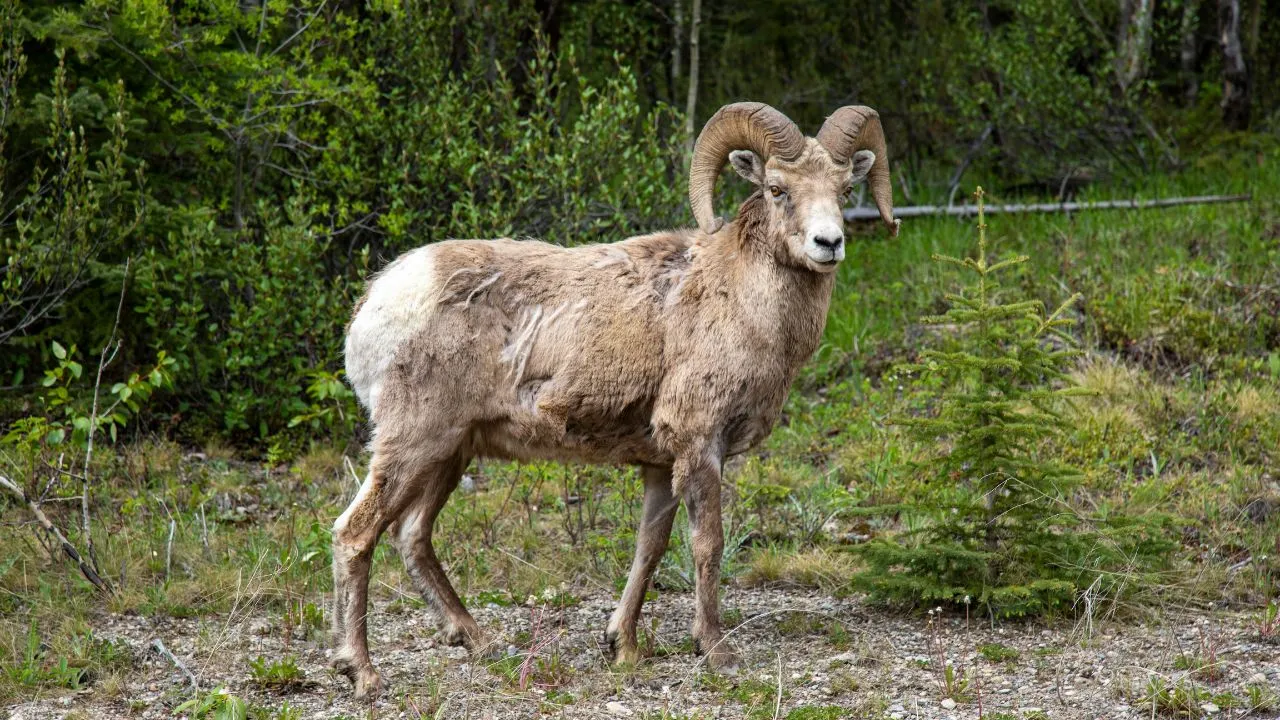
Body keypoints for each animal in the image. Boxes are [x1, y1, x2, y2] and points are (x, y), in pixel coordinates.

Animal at [332, 102, 898, 699]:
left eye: (845, 187)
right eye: (776, 188)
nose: (828, 244)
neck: (742, 303)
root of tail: (377, 302)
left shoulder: (660, 465)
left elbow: (649, 548)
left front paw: (622, 647)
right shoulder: (700, 445)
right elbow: (708, 544)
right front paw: (715, 651)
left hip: (450, 453)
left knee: (412, 536)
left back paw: (478, 641)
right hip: (413, 443)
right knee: (355, 534)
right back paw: (362, 672)